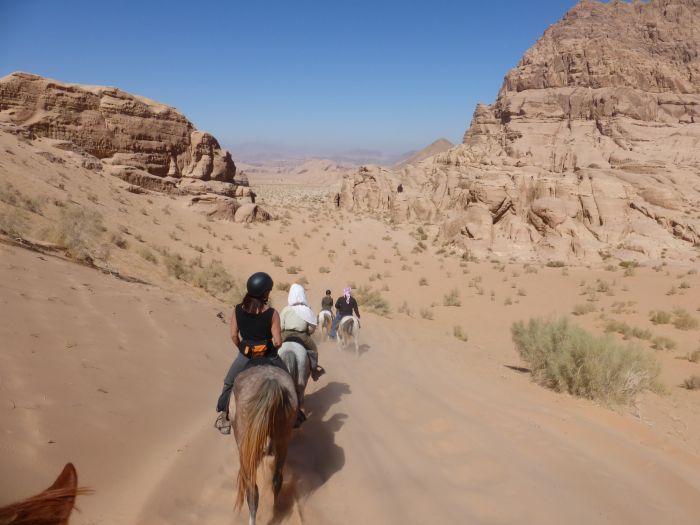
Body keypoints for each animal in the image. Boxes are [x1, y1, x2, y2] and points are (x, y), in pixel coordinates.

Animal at [232, 364, 298, 524]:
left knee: (252, 491)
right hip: (283, 442)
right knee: (277, 480)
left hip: (246, 451)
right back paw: (276, 510)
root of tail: (272, 383)